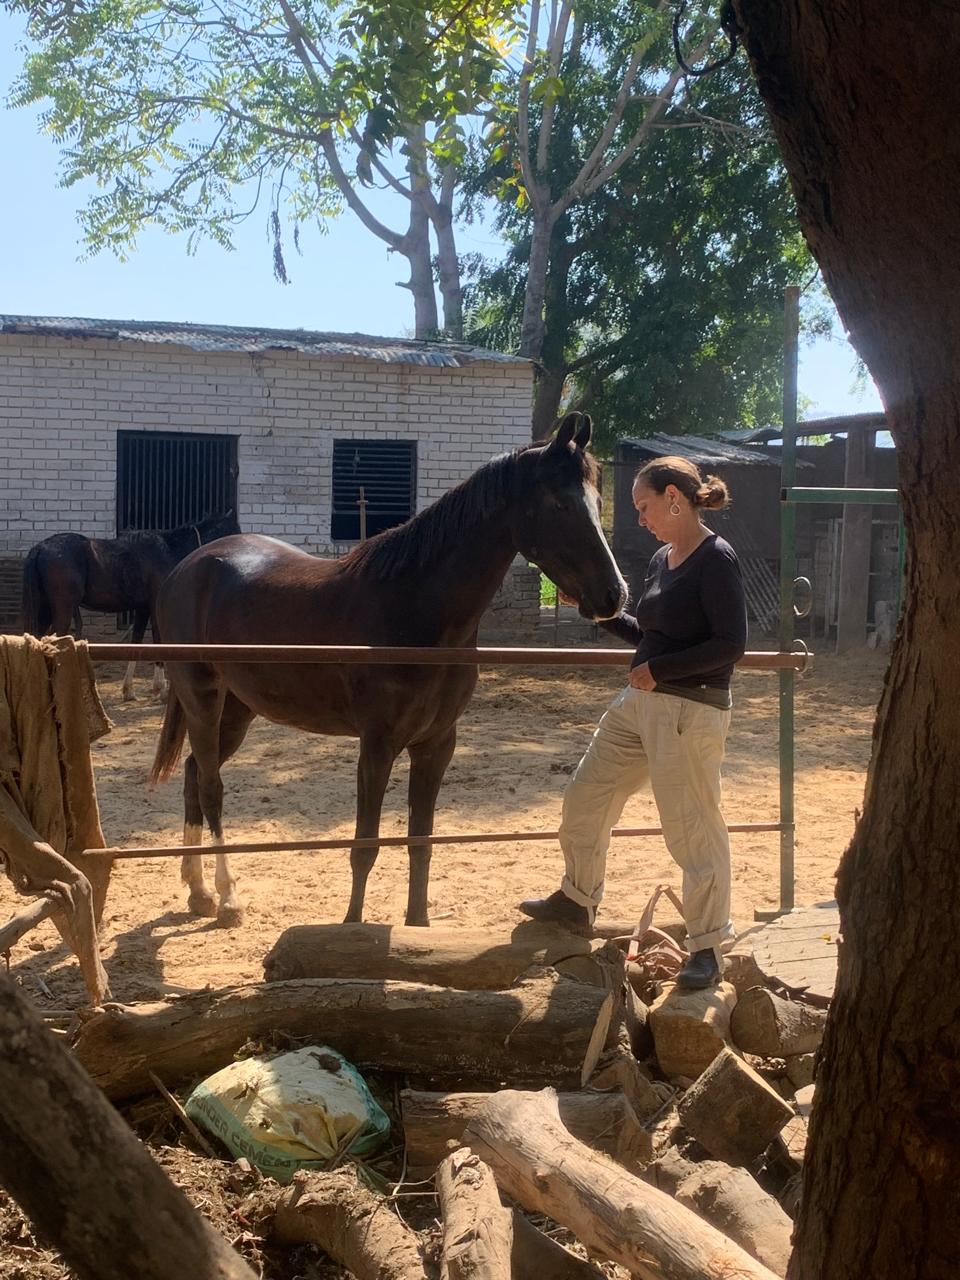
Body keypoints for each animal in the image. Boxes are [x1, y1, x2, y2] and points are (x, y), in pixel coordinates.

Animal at [20, 510, 240, 700]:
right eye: (234, 529)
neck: (168, 550)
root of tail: (40, 548)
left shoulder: (142, 609)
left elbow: (136, 643)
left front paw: (129, 690)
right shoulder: (154, 608)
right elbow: (158, 642)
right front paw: (160, 689)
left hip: (45, 611)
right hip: (62, 612)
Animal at [150, 413, 627, 928]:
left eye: (599, 501)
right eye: (559, 501)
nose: (614, 595)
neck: (415, 610)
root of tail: (187, 568)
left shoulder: (435, 745)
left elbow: (421, 844)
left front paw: (418, 927)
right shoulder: (377, 746)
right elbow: (366, 846)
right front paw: (351, 929)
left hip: (238, 708)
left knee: (194, 773)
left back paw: (199, 891)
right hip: (201, 697)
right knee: (211, 786)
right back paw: (227, 897)